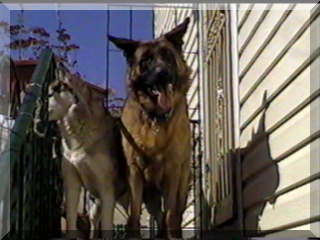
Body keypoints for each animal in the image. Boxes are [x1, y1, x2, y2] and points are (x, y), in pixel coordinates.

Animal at [47, 72, 127, 239]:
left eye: (52, 94)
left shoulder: (107, 189)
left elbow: (107, 227)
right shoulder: (71, 182)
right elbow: (71, 218)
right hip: (95, 203)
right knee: (94, 221)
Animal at [107, 17, 192, 238]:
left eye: (168, 56)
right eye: (146, 61)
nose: (162, 74)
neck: (156, 119)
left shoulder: (173, 170)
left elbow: (171, 212)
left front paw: (172, 235)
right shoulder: (134, 172)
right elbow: (135, 214)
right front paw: (133, 235)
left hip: (182, 182)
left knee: (174, 213)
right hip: (149, 194)